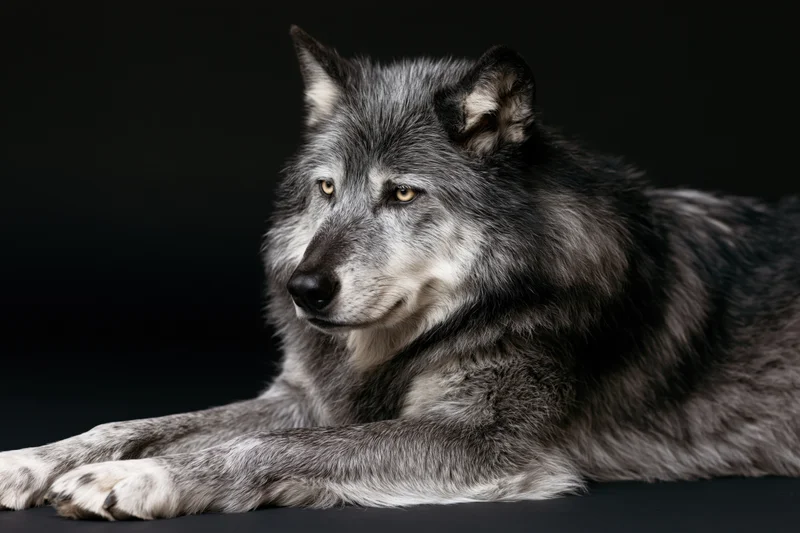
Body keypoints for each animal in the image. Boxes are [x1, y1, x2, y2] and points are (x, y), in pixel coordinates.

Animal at [1, 26, 799, 520]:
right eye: (326, 189)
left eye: (404, 194)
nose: (303, 289)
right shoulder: (310, 399)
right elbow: (138, 421)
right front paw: (35, 459)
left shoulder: (483, 442)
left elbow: (266, 445)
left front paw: (143, 477)